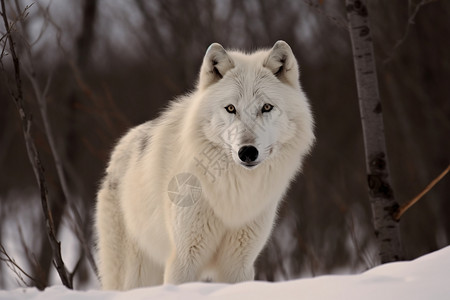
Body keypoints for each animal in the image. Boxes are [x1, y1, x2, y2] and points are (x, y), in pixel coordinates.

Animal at [95, 41, 312, 290]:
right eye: (231, 108)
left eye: (266, 107)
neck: (234, 193)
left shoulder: (238, 264)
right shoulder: (183, 259)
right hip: (135, 273)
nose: (247, 152)